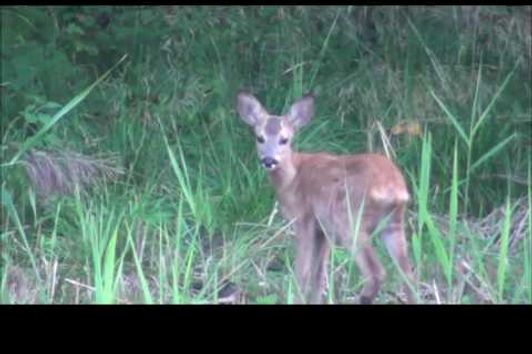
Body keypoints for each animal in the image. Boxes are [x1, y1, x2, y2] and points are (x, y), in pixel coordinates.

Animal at [236, 90, 416, 302]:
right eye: (260, 138)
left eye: (284, 139)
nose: (268, 160)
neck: (292, 178)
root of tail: (394, 188)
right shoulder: (323, 230)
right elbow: (318, 273)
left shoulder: (304, 218)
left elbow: (303, 271)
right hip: (393, 223)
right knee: (408, 274)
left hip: (350, 221)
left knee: (377, 272)